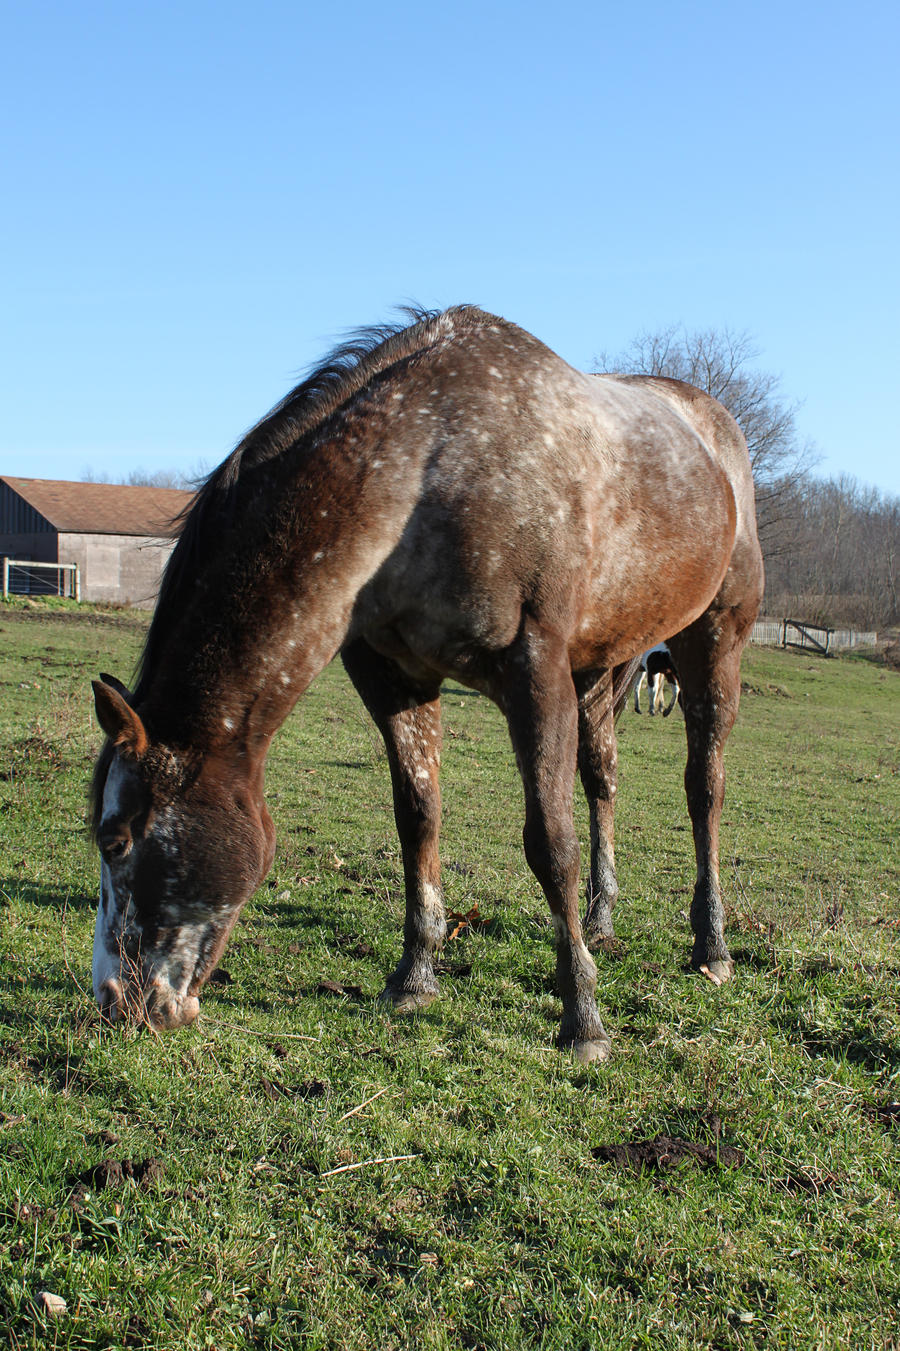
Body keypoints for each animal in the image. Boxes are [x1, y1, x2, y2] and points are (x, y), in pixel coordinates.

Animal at [91, 306, 762, 1064]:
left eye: (114, 840)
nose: (117, 1002)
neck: (425, 472)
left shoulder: (535, 674)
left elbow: (549, 843)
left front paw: (583, 1019)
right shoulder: (395, 677)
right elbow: (418, 818)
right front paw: (414, 976)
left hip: (712, 642)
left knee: (703, 789)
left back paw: (712, 945)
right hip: (603, 665)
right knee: (603, 779)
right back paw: (601, 918)